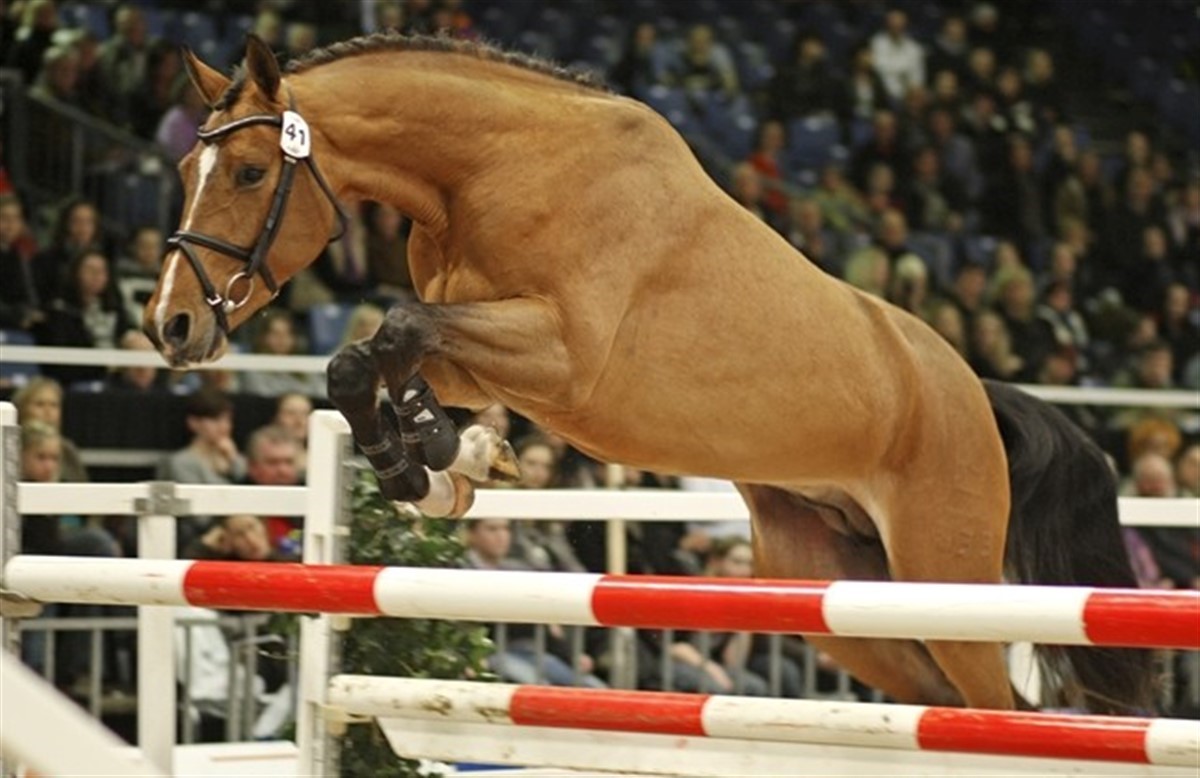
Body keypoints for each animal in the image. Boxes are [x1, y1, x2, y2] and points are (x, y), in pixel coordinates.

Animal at [143, 33, 1155, 715]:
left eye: (245, 170)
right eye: (188, 164)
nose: (171, 326)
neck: (493, 168)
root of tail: (975, 395)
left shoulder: (564, 359)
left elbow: (396, 329)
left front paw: (434, 465)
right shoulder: (488, 356)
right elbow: (369, 356)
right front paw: (443, 465)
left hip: (945, 570)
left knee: (999, 707)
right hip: (844, 593)